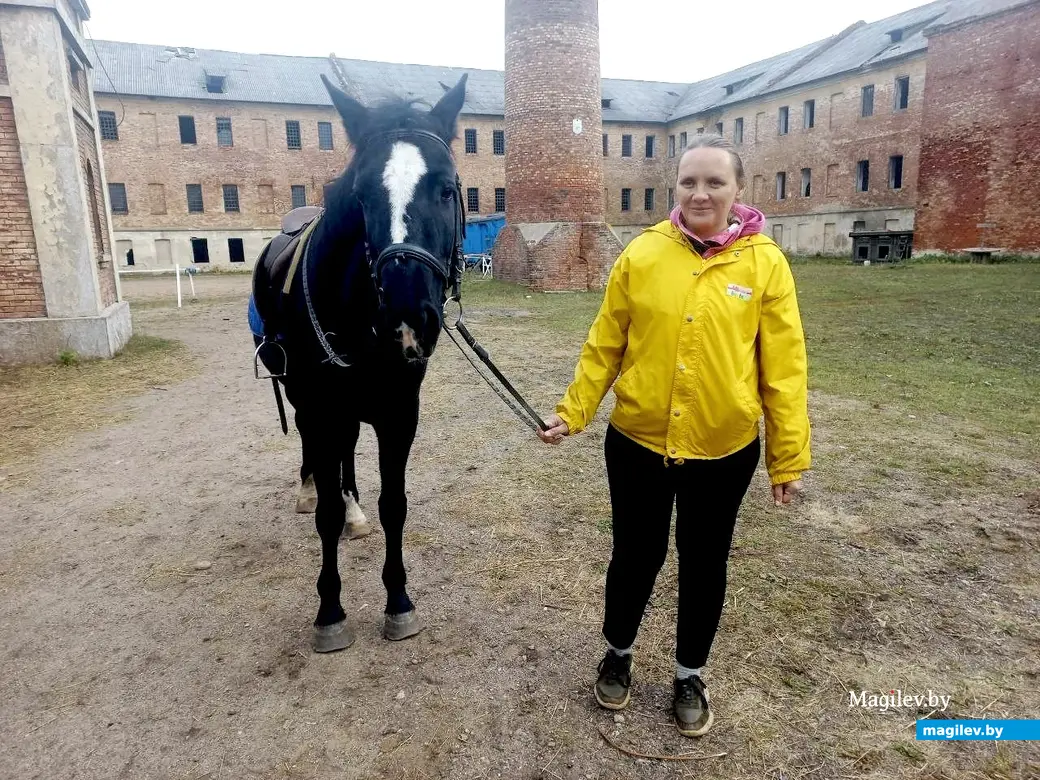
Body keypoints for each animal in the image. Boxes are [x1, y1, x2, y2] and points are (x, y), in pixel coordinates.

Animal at [251, 76, 467, 657]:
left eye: (446, 189)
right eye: (362, 195)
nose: (407, 315)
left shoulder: (399, 414)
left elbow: (395, 504)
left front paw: (398, 602)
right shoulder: (322, 410)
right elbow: (325, 512)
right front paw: (329, 611)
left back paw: (354, 510)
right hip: (305, 402)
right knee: (316, 458)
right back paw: (313, 491)